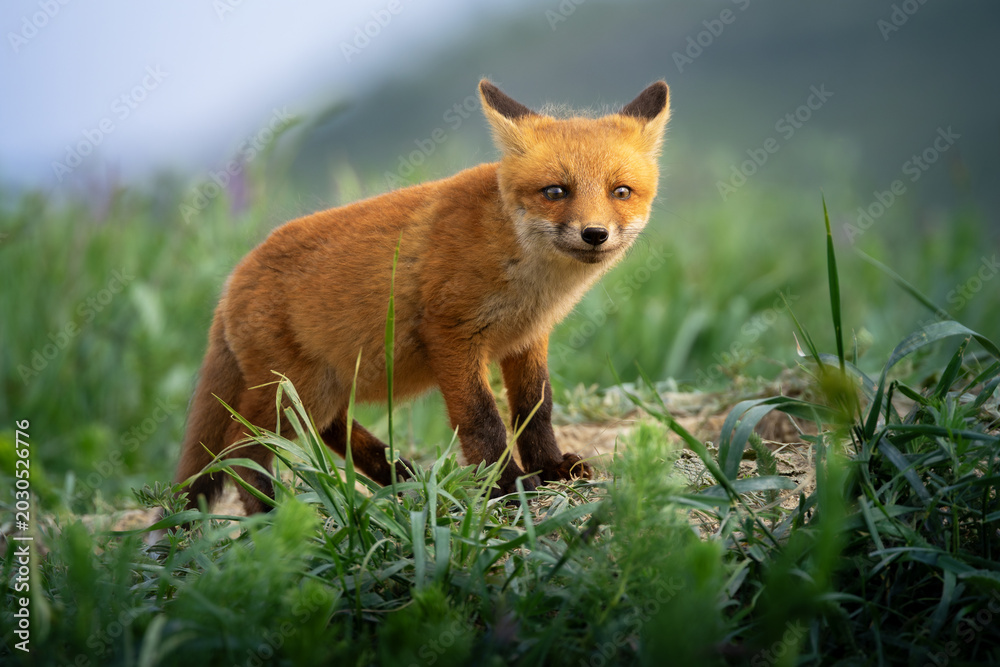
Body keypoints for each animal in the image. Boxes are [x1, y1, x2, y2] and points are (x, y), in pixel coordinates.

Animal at [174, 79, 670, 515]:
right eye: (555, 191)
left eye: (620, 192)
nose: (595, 234)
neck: (528, 281)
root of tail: (232, 280)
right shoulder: (451, 334)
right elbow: (481, 418)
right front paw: (507, 486)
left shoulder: (528, 339)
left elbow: (537, 409)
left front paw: (551, 470)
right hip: (294, 389)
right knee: (241, 447)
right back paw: (269, 515)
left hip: (317, 391)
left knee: (324, 430)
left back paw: (399, 476)